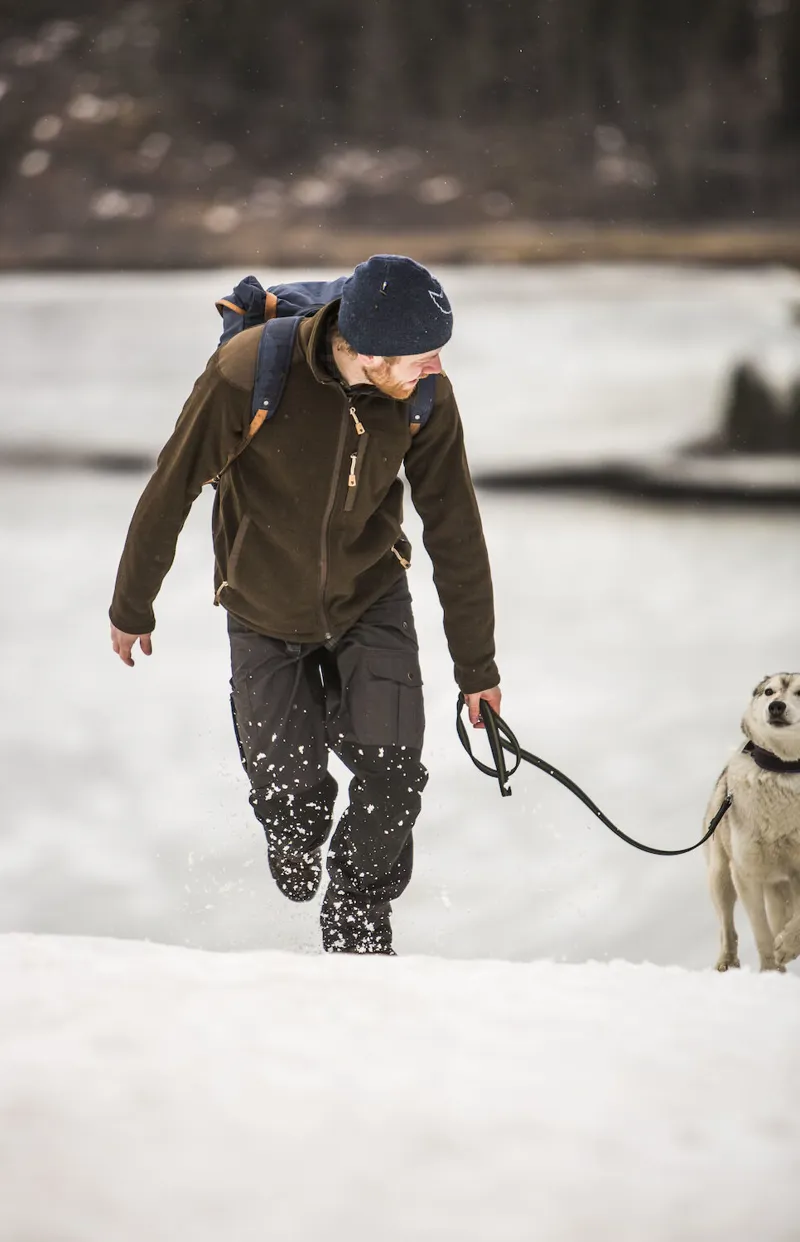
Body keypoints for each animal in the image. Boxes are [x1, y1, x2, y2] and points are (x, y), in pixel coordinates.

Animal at [705, 670, 800, 968]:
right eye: (769, 692)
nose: (776, 706)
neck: (784, 770)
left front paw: (788, 947)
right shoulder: (746, 873)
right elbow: (762, 934)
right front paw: (771, 968)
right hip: (720, 876)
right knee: (727, 928)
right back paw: (726, 962)